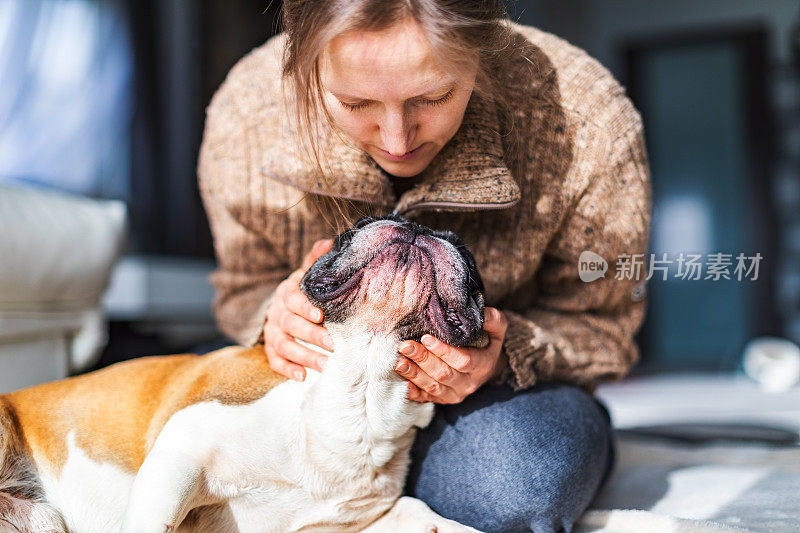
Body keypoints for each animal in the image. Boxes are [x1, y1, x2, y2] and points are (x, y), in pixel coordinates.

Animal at [0, 216, 488, 532]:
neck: (357, 392)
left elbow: (418, 513)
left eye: (470, 260)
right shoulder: (181, 455)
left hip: (41, 520)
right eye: (351, 229)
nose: (419, 227)